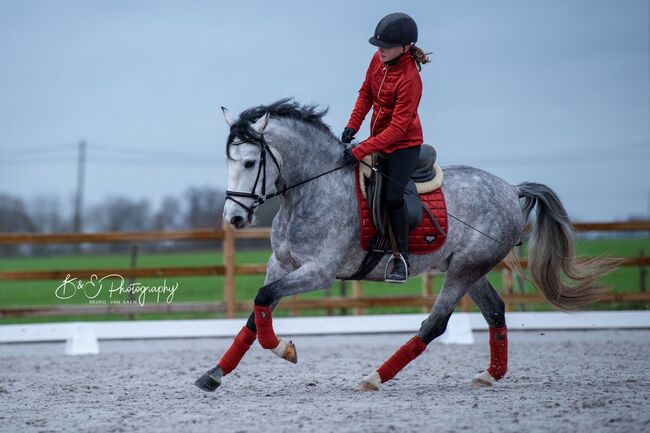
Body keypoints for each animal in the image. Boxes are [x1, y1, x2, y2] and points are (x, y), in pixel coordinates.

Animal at [194, 98, 616, 392]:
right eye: (230, 161)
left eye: (250, 163)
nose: (233, 219)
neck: (310, 190)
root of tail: (511, 190)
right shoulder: (281, 264)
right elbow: (256, 313)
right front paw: (214, 375)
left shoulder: (319, 272)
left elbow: (263, 299)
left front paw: (284, 349)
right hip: (468, 268)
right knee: (495, 310)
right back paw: (490, 376)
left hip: (464, 269)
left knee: (435, 323)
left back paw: (374, 378)